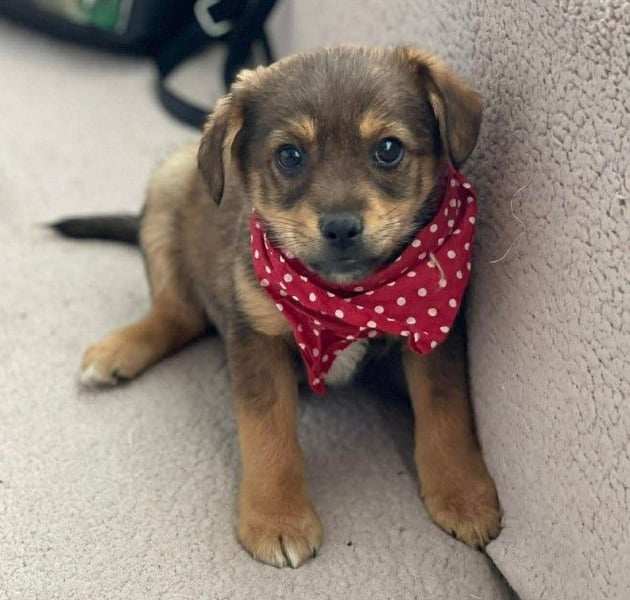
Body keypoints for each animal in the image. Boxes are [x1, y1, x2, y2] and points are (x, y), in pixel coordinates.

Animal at [53, 45, 501, 568]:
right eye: (289, 156)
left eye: (388, 149)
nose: (342, 228)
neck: (346, 299)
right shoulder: (256, 336)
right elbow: (268, 434)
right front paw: (278, 518)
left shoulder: (435, 330)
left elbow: (446, 413)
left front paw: (463, 494)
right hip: (168, 188)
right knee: (177, 312)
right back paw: (119, 349)